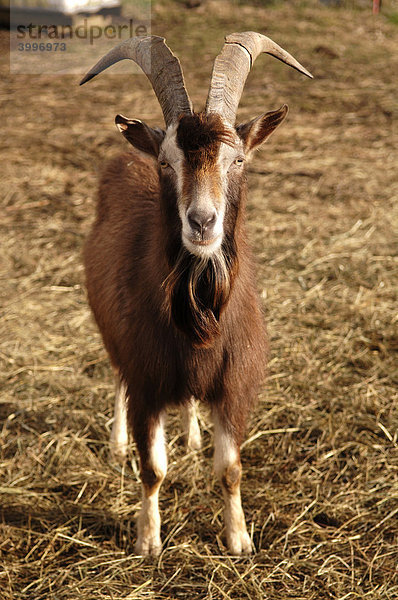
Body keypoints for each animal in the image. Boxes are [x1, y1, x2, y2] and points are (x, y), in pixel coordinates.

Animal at [80, 32, 310, 556]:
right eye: (167, 161)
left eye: (238, 159)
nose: (202, 222)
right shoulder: (146, 377)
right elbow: (152, 469)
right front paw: (148, 540)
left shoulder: (234, 384)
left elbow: (230, 469)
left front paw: (239, 538)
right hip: (111, 333)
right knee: (116, 377)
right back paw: (117, 445)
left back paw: (191, 435)